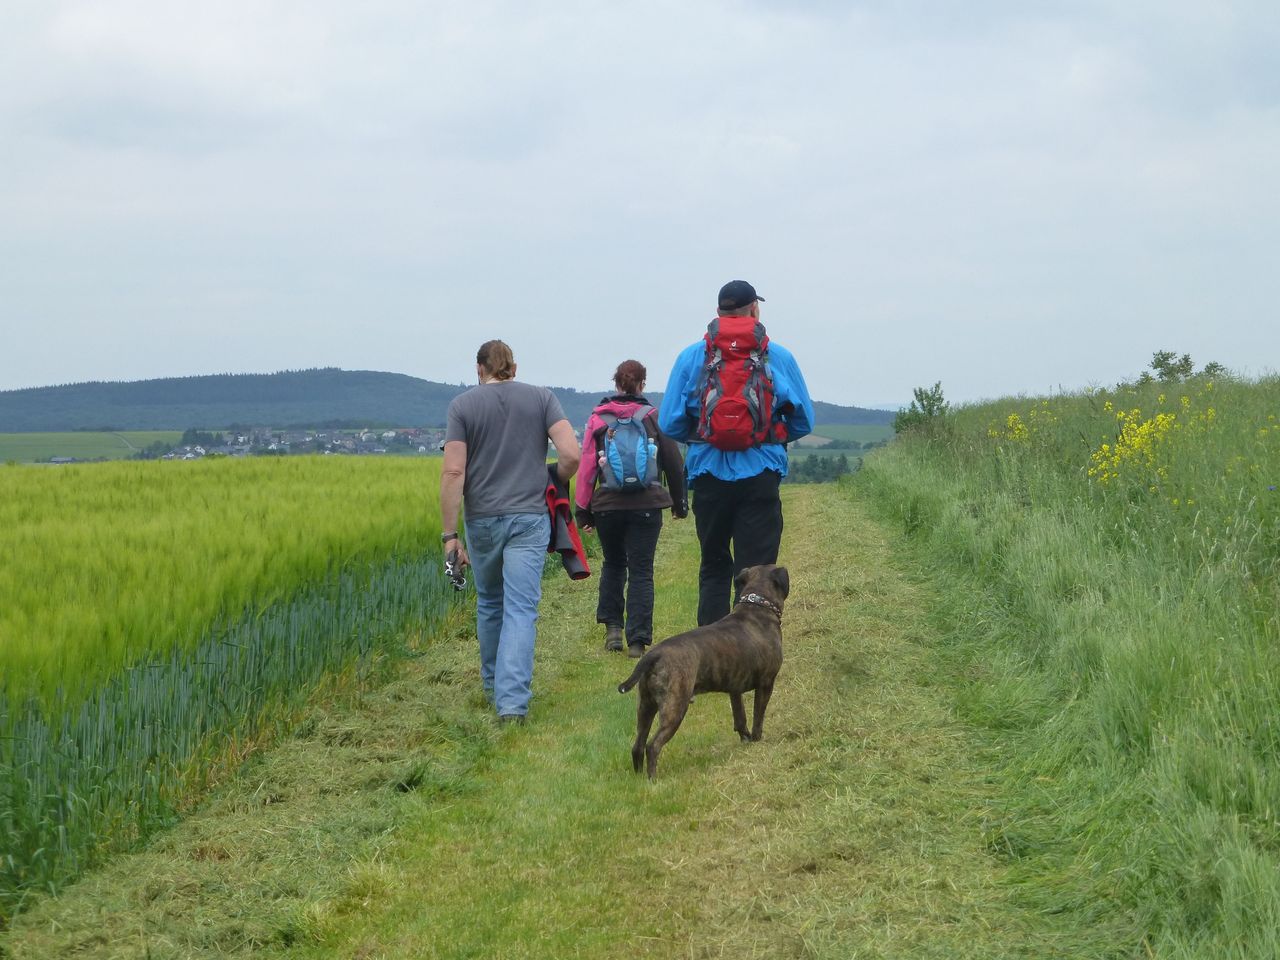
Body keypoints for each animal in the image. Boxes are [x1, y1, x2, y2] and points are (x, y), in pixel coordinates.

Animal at [614, 563, 783, 783]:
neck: (757, 605)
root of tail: (654, 655)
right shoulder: (766, 683)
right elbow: (758, 716)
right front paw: (756, 740)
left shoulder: (734, 689)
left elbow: (740, 717)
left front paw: (745, 738)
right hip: (675, 708)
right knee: (653, 746)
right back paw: (653, 780)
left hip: (645, 707)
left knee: (638, 745)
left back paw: (640, 778)